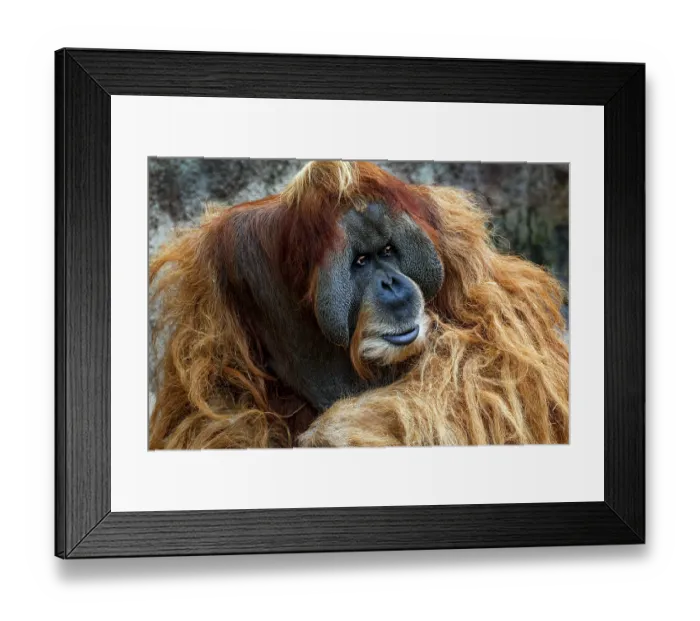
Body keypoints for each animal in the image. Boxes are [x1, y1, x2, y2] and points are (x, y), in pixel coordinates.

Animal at [149, 161, 569, 449]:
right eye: (362, 262)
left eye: (388, 251)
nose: (393, 285)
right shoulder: (221, 264)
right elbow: (214, 405)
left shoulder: (452, 235)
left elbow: (502, 361)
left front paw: (333, 434)